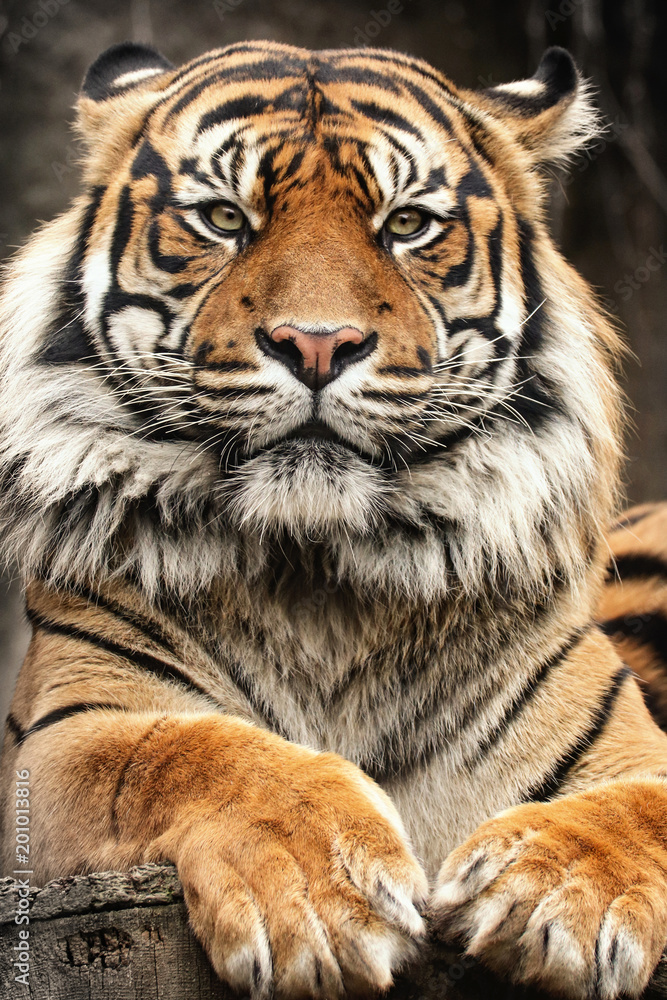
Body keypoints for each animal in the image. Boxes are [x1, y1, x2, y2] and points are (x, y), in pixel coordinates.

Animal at [1, 38, 666, 1000]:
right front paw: (322, 891)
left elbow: (640, 807)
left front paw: (558, 893)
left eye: (407, 224)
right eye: (223, 217)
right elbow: (192, 751)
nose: (316, 343)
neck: (323, 581)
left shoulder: (629, 747)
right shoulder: (69, 733)